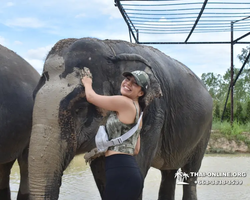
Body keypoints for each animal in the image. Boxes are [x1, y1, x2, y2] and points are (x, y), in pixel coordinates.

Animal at [28, 38, 213, 200]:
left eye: (80, 109)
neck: (111, 51)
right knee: (169, 172)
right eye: (34, 97)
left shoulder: (153, 113)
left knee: (191, 172)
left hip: (205, 132)